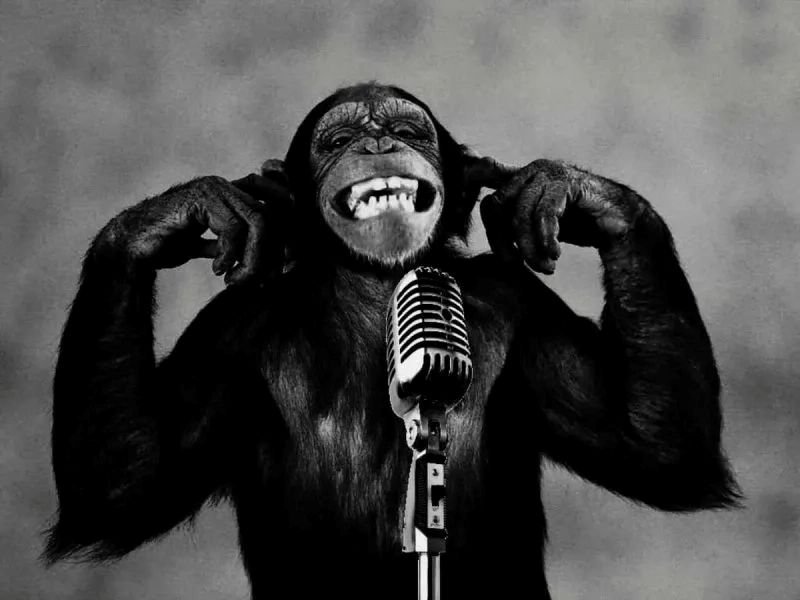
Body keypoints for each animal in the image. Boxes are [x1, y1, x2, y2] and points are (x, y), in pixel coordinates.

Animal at [45, 83, 740, 599]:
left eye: (408, 132)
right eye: (339, 140)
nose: (377, 142)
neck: (382, 288)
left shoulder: (520, 309)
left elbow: (654, 444)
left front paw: (565, 190)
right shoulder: (229, 335)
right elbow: (124, 480)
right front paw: (176, 216)